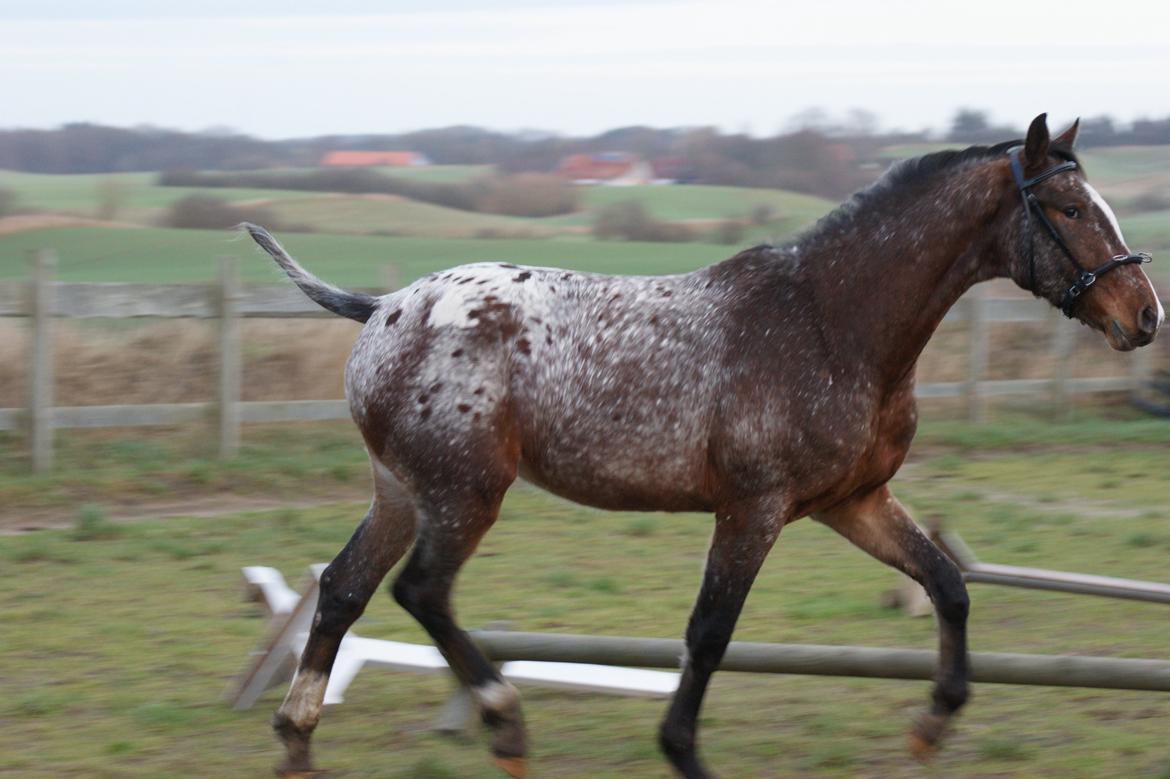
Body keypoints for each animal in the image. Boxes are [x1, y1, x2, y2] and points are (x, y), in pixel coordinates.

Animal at [244, 115, 1160, 776]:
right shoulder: (753, 508)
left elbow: (949, 586)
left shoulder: (852, 503)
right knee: (421, 591)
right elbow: (710, 633)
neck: (834, 324)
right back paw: (504, 724)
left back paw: (297, 737)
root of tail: (383, 309)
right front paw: (680, 749)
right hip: (464, 494)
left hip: (401, 492)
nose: (1145, 314)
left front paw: (931, 726)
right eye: (1070, 208)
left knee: (344, 588)